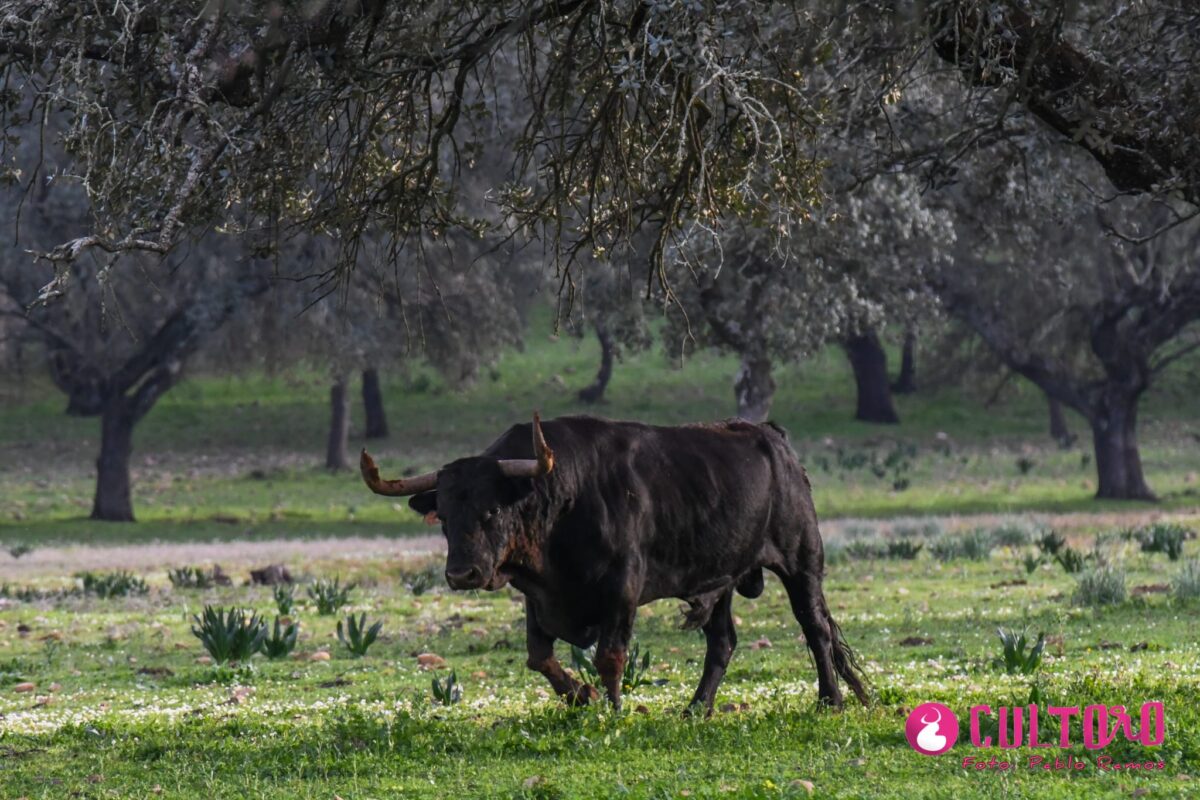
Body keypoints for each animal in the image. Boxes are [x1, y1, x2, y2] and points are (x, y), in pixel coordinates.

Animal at [360, 412, 868, 714]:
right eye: (444, 516)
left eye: (492, 510)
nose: (462, 574)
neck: (562, 498)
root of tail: (770, 435)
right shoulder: (538, 597)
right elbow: (539, 657)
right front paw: (581, 696)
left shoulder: (622, 591)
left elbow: (610, 657)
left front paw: (615, 708)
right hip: (721, 579)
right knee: (722, 642)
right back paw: (695, 710)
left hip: (802, 562)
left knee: (815, 627)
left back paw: (831, 700)